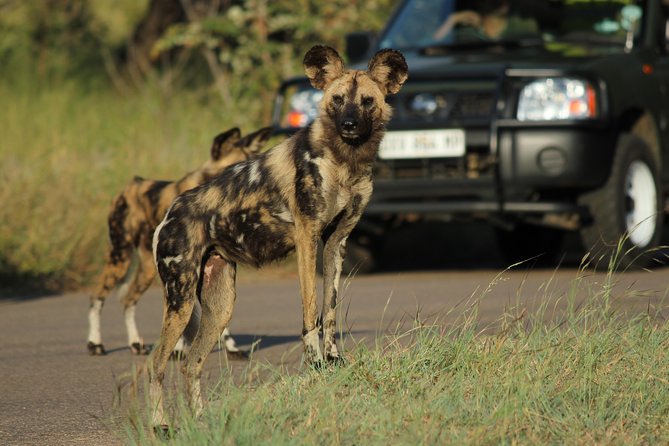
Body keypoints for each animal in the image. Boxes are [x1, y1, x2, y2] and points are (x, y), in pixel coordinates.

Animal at [87, 127, 272, 358]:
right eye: (234, 168)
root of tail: (128, 187)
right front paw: (178, 349)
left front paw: (230, 347)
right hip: (120, 258)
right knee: (96, 297)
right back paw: (95, 343)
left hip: (148, 270)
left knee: (128, 300)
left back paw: (135, 343)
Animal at [147, 44, 408, 428]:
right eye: (338, 99)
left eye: (367, 101)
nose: (348, 124)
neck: (345, 162)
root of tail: (170, 212)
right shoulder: (307, 238)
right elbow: (311, 314)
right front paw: (315, 364)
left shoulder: (336, 243)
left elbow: (330, 310)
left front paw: (333, 360)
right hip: (179, 301)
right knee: (155, 363)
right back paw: (159, 426)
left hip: (220, 307)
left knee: (192, 364)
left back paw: (203, 424)